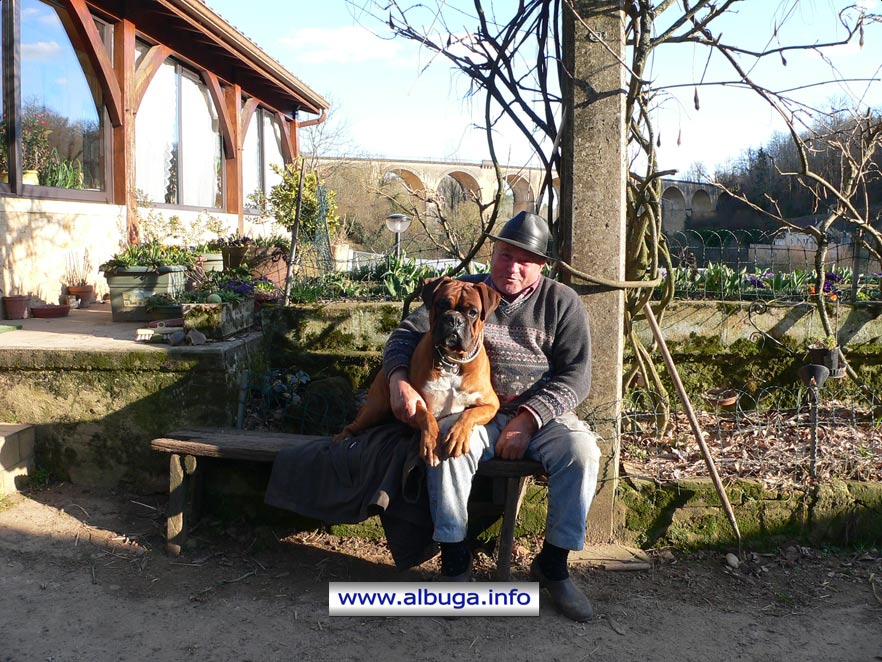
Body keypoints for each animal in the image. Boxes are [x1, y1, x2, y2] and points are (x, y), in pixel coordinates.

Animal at [336, 278, 502, 470]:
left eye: (472, 312)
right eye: (442, 304)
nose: (454, 319)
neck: (452, 361)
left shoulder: (491, 404)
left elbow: (469, 414)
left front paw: (457, 436)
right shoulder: (414, 402)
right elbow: (426, 417)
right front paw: (431, 445)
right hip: (375, 408)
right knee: (353, 425)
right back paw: (342, 437)